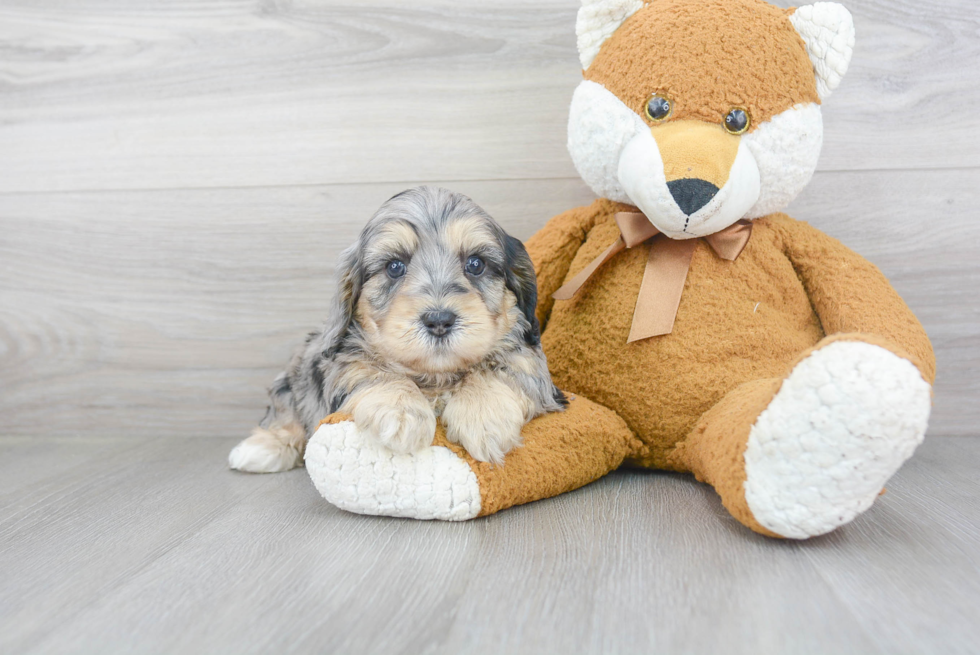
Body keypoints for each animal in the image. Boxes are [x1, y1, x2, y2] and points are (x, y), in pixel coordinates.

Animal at [229, 187, 564, 474]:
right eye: (394, 267)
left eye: (476, 264)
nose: (439, 320)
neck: (435, 377)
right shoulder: (341, 362)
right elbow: (371, 370)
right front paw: (401, 413)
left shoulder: (532, 364)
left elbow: (506, 368)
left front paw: (483, 417)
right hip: (293, 375)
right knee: (285, 413)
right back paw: (260, 449)